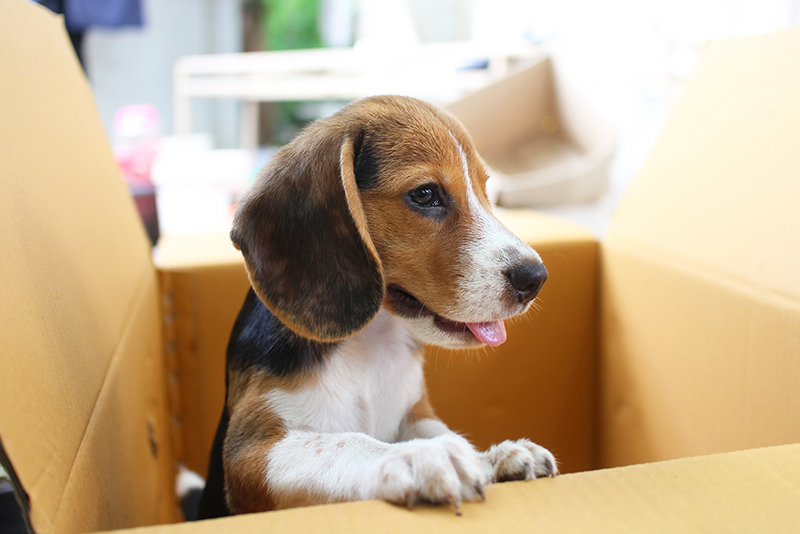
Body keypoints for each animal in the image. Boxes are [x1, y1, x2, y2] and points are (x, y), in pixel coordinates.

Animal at [198, 95, 556, 520]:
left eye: (486, 190)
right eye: (425, 194)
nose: (535, 278)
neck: (369, 344)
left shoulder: (416, 412)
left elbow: (445, 432)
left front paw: (491, 457)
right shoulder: (250, 451)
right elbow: (346, 443)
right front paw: (420, 457)